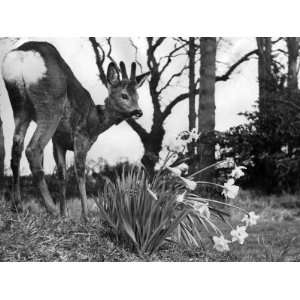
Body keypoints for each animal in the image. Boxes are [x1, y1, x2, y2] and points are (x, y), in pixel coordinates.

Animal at [0, 40, 149, 220]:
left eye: (137, 96)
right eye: (124, 95)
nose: (138, 111)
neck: (95, 121)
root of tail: (22, 54)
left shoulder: (58, 141)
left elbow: (62, 174)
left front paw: (65, 213)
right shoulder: (81, 136)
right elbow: (80, 172)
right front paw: (85, 215)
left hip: (19, 105)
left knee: (16, 150)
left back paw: (18, 206)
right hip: (51, 103)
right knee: (33, 149)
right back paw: (51, 209)